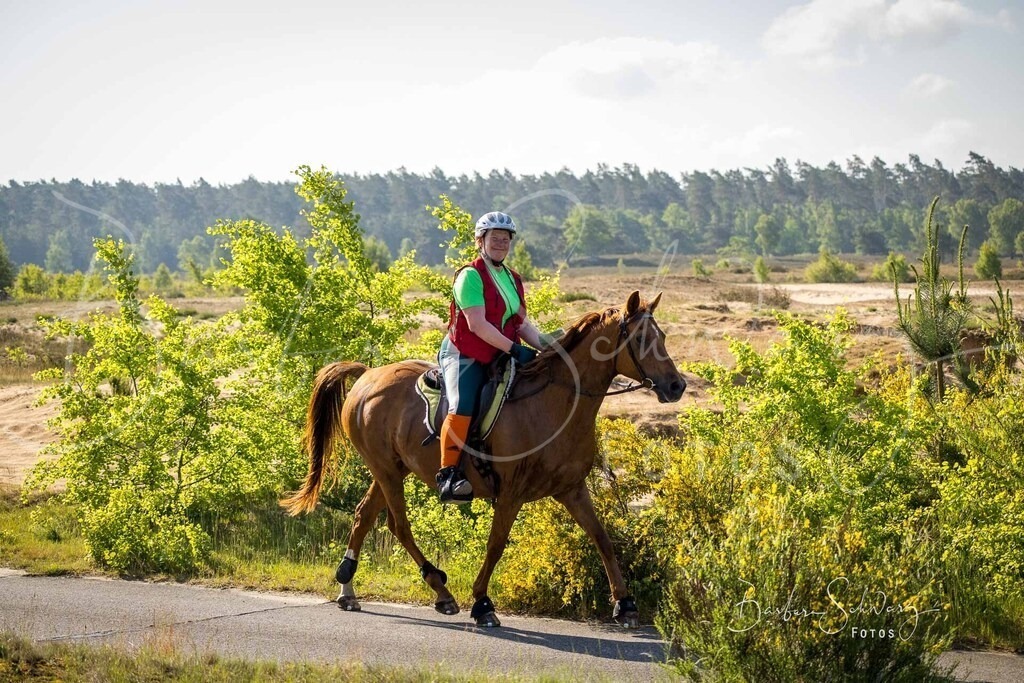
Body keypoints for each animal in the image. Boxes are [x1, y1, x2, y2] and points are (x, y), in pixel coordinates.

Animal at [282, 290, 686, 627]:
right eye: (640, 340)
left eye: (664, 337)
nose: (676, 386)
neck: (556, 403)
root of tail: (367, 376)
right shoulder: (510, 494)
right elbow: (496, 546)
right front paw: (482, 604)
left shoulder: (572, 489)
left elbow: (602, 538)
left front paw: (625, 604)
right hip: (386, 470)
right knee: (399, 526)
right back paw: (441, 590)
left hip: (392, 469)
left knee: (364, 515)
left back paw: (347, 589)